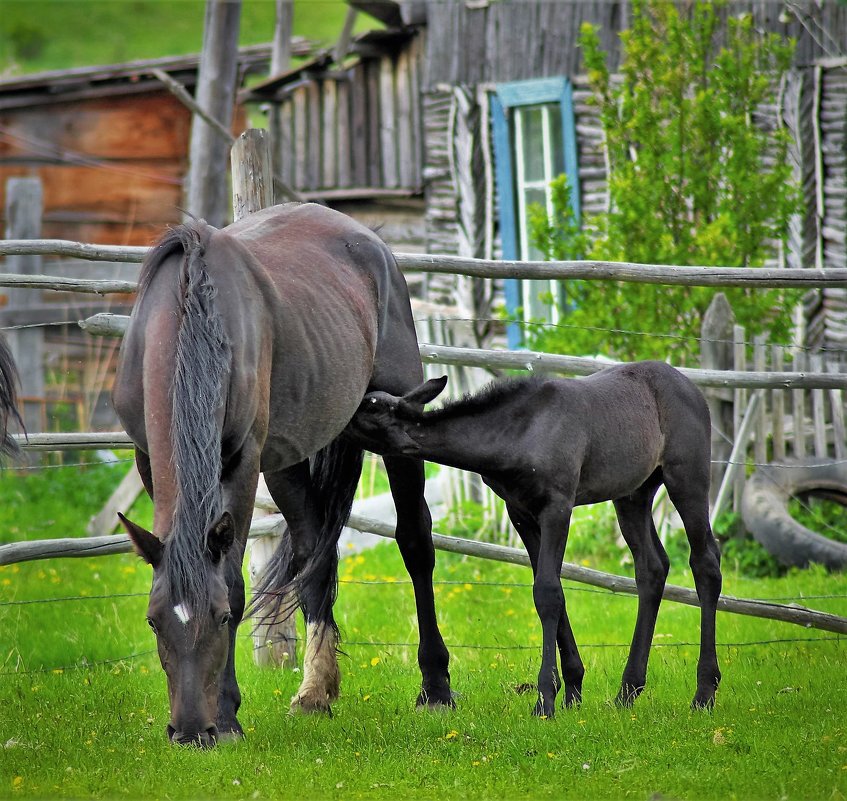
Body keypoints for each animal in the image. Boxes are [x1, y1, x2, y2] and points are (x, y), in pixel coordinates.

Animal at [348, 360, 724, 712]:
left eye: (366, 410)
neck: (516, 435)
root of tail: (692, 388)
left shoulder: (557, 506)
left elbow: (547, 592)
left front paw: (545, 700)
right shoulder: (521, 513)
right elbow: (553, 590)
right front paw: (571, 691)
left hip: (686, 475)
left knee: (705, 562)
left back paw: (704, 692)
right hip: (633, 493)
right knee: (652, 567)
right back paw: (627, 692)